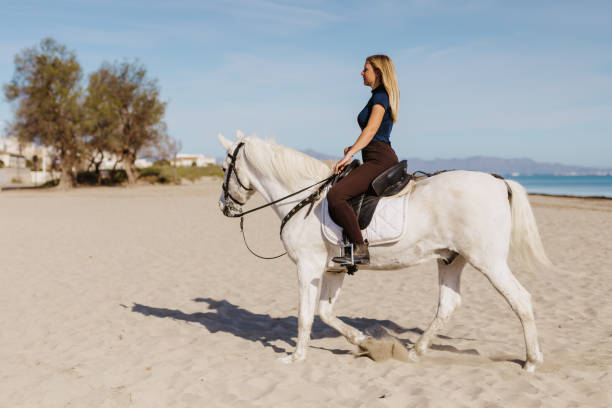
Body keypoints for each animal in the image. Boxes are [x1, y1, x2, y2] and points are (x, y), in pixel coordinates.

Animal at [219, 132, 548, 372]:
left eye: (224, 169)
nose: (224, 207)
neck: (305, 198)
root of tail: (498, 181)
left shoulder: (307, 267)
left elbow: (305, 315)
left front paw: (296, 357)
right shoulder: (333, 270)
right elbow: (325, 312)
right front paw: (364, 341)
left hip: (488, 261)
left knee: (520, 299)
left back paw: (531, 361)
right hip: (451, 259)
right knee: (448, 305)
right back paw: (415, 351)